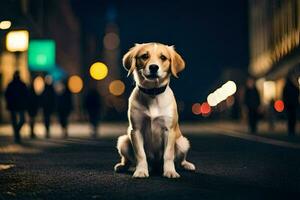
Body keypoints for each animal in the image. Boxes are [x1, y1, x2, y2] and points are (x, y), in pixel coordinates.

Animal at [113, 42, 196, 178]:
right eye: (144, 56)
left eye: (163, 57)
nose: (153, 67)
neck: (153, 93)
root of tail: (155, 167)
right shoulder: (136, 130)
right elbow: (140, 154)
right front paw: (141, 171)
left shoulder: (169, 130)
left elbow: (168, 155)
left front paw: (170, 171)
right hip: (123, 140)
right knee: (127, 159)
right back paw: (123, 166)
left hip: (182, 142)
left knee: (180, 160)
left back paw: (187, 165)